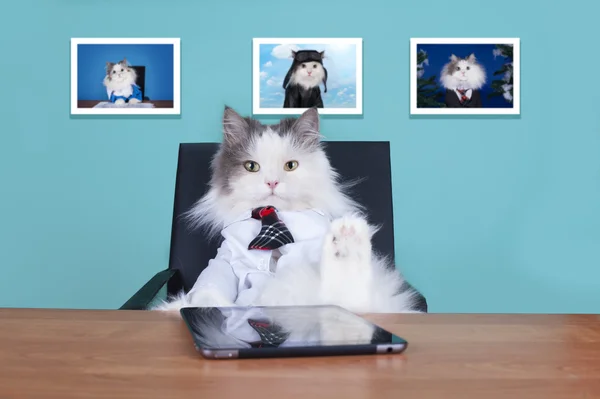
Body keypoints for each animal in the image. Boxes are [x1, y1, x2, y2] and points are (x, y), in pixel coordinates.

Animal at [152, 106, 420, 318]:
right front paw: (204, 307)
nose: (272, 182)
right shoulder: (224, 261)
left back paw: (347, 242)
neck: (274, 220)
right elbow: (208, 288)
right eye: (251, 167)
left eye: (290, 166)